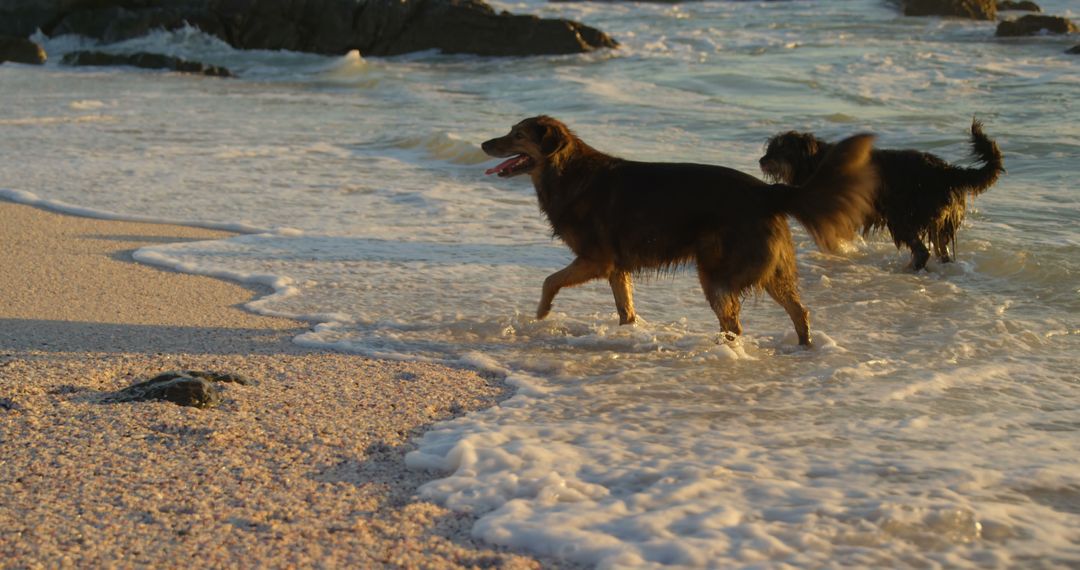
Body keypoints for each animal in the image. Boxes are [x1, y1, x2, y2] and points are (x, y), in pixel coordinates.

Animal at [481, 117, 876, 343]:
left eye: (516, 135)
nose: (483, 143)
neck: (566, 172)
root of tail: (769, 192)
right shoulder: (616, 267)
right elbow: (625, 309)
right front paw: (628, 334)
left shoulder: (596, 259)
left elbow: (549, 280)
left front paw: (541, 313)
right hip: (770, 271)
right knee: (799, 312)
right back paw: (802, 349)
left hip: (716, 272)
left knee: (734, 322)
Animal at [760, 121, 1002, 268]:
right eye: (769, 149)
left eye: (780, 150)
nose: (761, 160)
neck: (813, 161)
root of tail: (947, 171)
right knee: (940, 249)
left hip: (903, 216)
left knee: (922, 251)